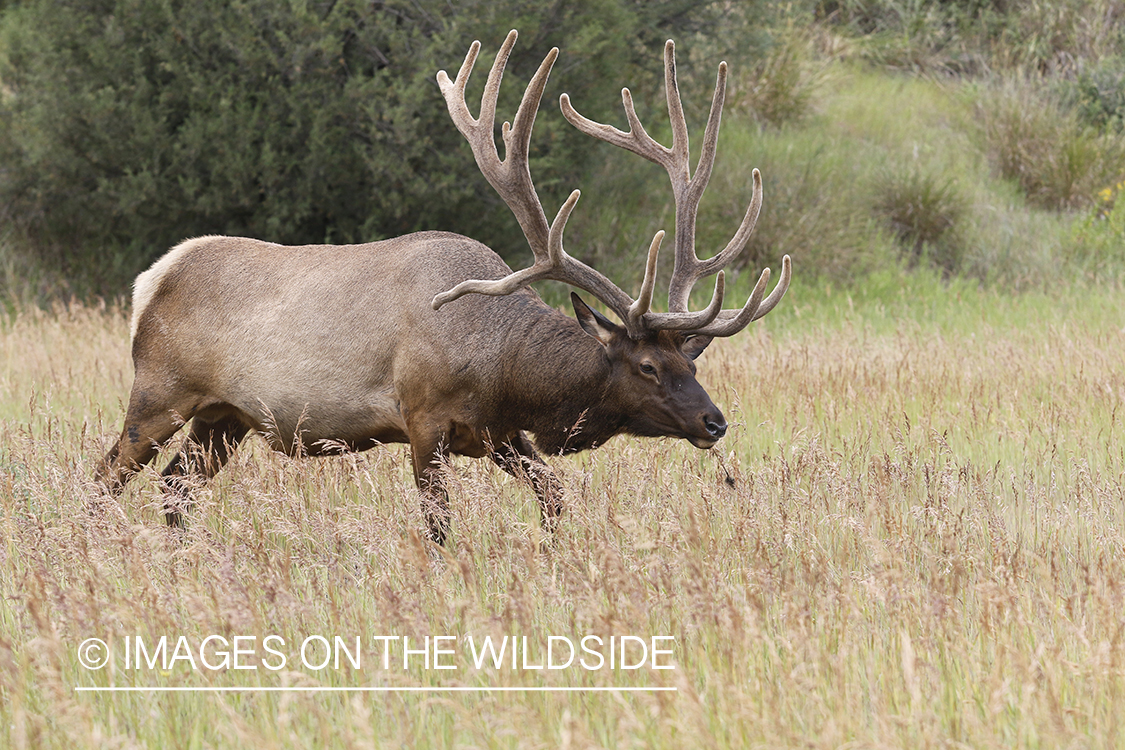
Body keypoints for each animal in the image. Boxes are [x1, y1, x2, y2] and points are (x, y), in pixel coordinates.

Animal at [96, 30, 792, 546]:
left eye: (692, 362)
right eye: (647, 366)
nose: (715, 421)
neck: (505, 370)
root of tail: (149, 281)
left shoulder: (498, 435)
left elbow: (555, 497)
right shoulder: (422, 418)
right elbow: (438, 526)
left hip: (224, 417)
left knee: (173, 489)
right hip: (159, 392)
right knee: (105, 477)